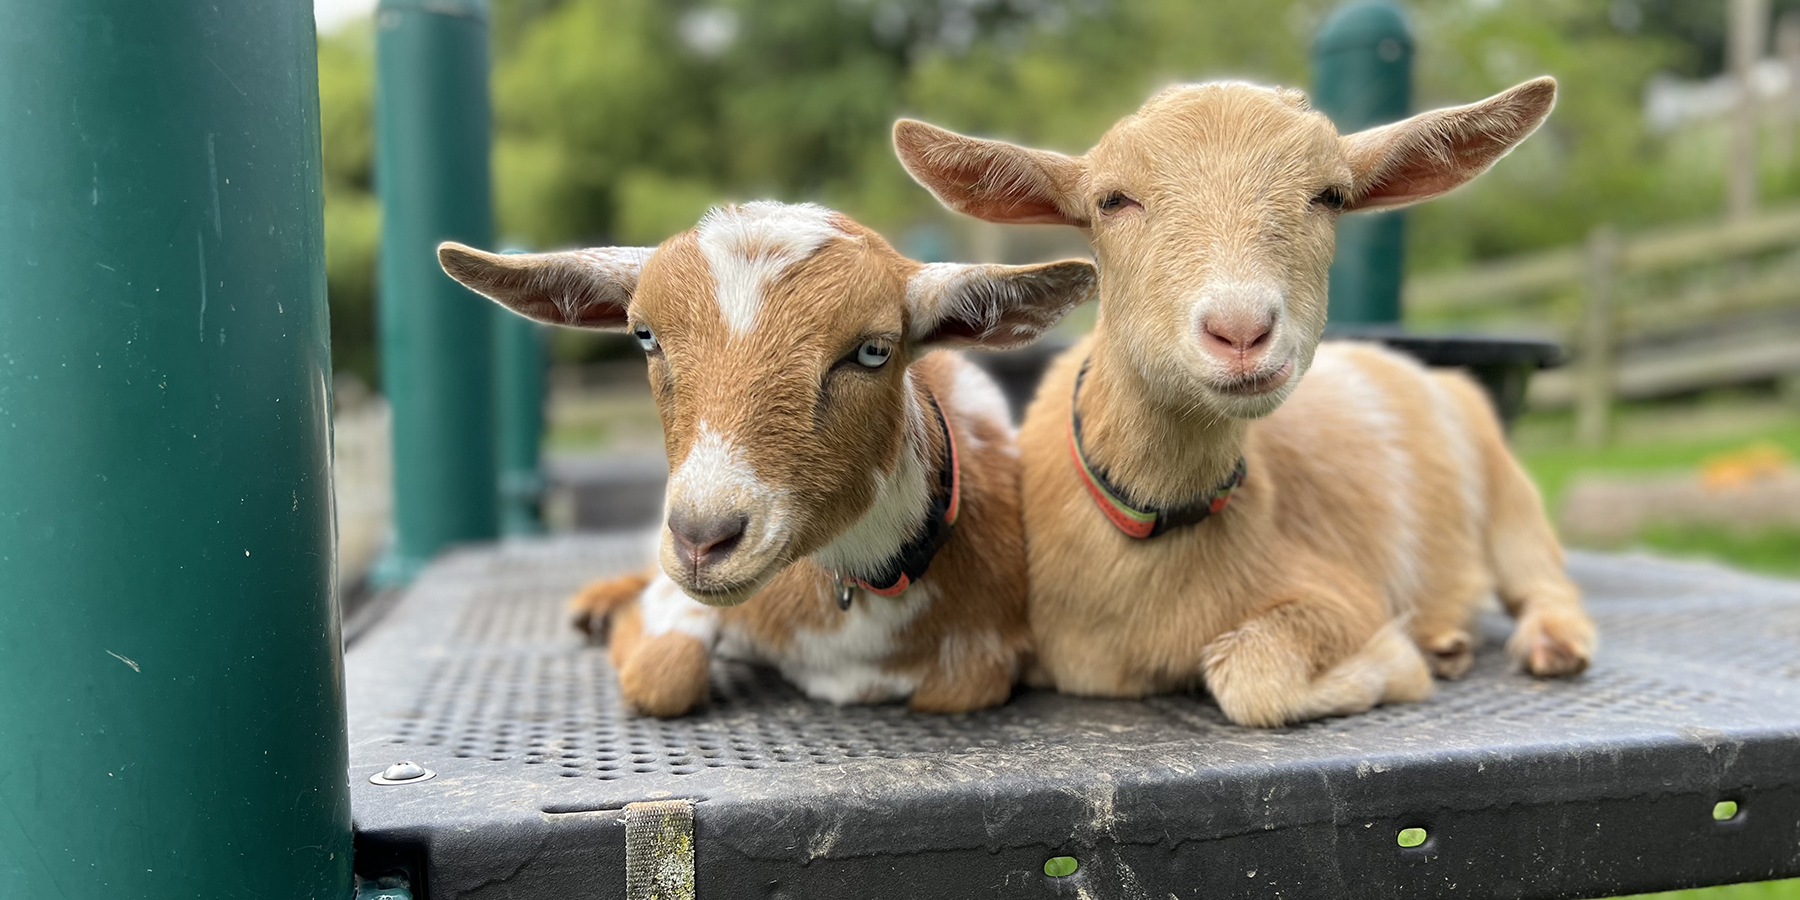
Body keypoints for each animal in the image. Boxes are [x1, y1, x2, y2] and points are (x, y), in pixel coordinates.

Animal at [442, 202, 1101, 716]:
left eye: (873, 350)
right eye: (645, 336)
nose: (701, 539)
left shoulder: (982, 654)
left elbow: (963, 687)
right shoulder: (678, 602)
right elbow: (663, 673)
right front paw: (623, 628)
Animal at [892, 73, 1598, 727]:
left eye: (1330, 195)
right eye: (1112, 200)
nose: (1240, 331)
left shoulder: (1341, 595)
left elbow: (1250, 675)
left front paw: (1394, 664)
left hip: (1508, 490)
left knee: (1543, 576)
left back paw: (1546, 643)